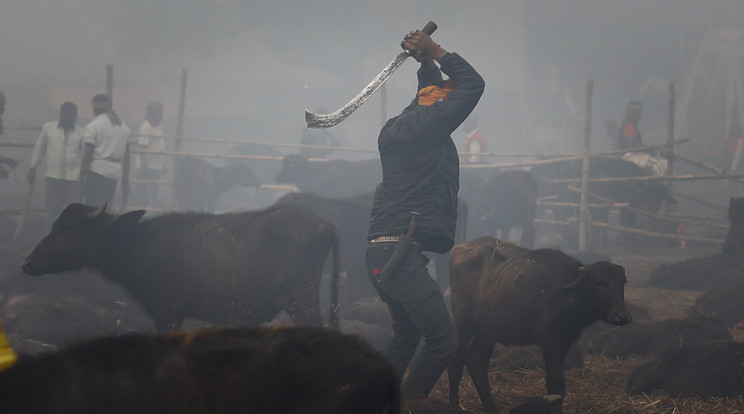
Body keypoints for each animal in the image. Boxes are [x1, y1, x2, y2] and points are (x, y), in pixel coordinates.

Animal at [20, 202, 340, 332]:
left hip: (302, 301)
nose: (27, 262)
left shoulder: (167, 313)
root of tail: (325, 225)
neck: (140, 245)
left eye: (68, 229)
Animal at [444, 236, 632, 414]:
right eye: (598, 282)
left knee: (476, 361)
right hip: (463, 319)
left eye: (622, 282)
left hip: (487, 330)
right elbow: (555, 382)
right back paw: (454, 405)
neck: (569, 296)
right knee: (457, 359)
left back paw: (491, 408)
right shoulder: (552, 341)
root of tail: (460, 247)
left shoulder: (565, 341)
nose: (622, 316)